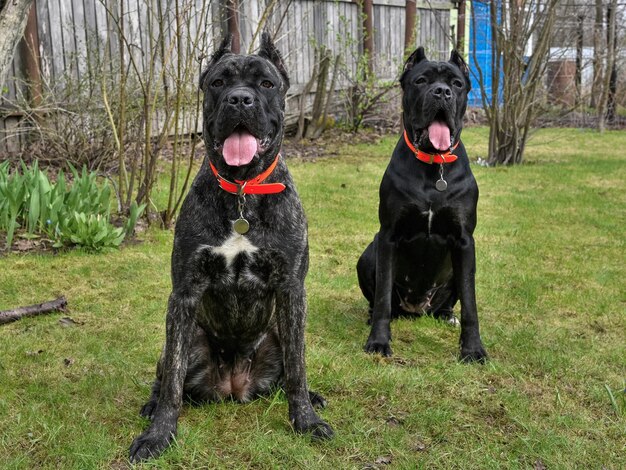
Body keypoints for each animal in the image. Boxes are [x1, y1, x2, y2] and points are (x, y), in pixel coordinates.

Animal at [127, 33, 332, 462]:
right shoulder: (184, 294)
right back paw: (152, 405)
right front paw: (159, 434)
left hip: (276, 333)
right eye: (218, 82)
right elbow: (172, 383)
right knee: (167, 374)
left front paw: (305, 421)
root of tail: (235, 387)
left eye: (266, 83)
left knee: (290, 368)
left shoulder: (292, 289)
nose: (240, 99)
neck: (242, 189)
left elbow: (298, 367)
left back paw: (313, 397)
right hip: (191, 340)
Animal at [356, 47, 482, 362]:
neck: (433, 166)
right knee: (381, 300)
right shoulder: (388, 235)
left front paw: (473, 349)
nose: (442, 92)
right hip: (368, 254)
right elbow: (383, 298)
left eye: (457, 84)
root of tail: (416, 309)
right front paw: (378, 341)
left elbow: (470, 303)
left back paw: (447, 315)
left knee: (450, 302)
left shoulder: (465, 241)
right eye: (421, 80)